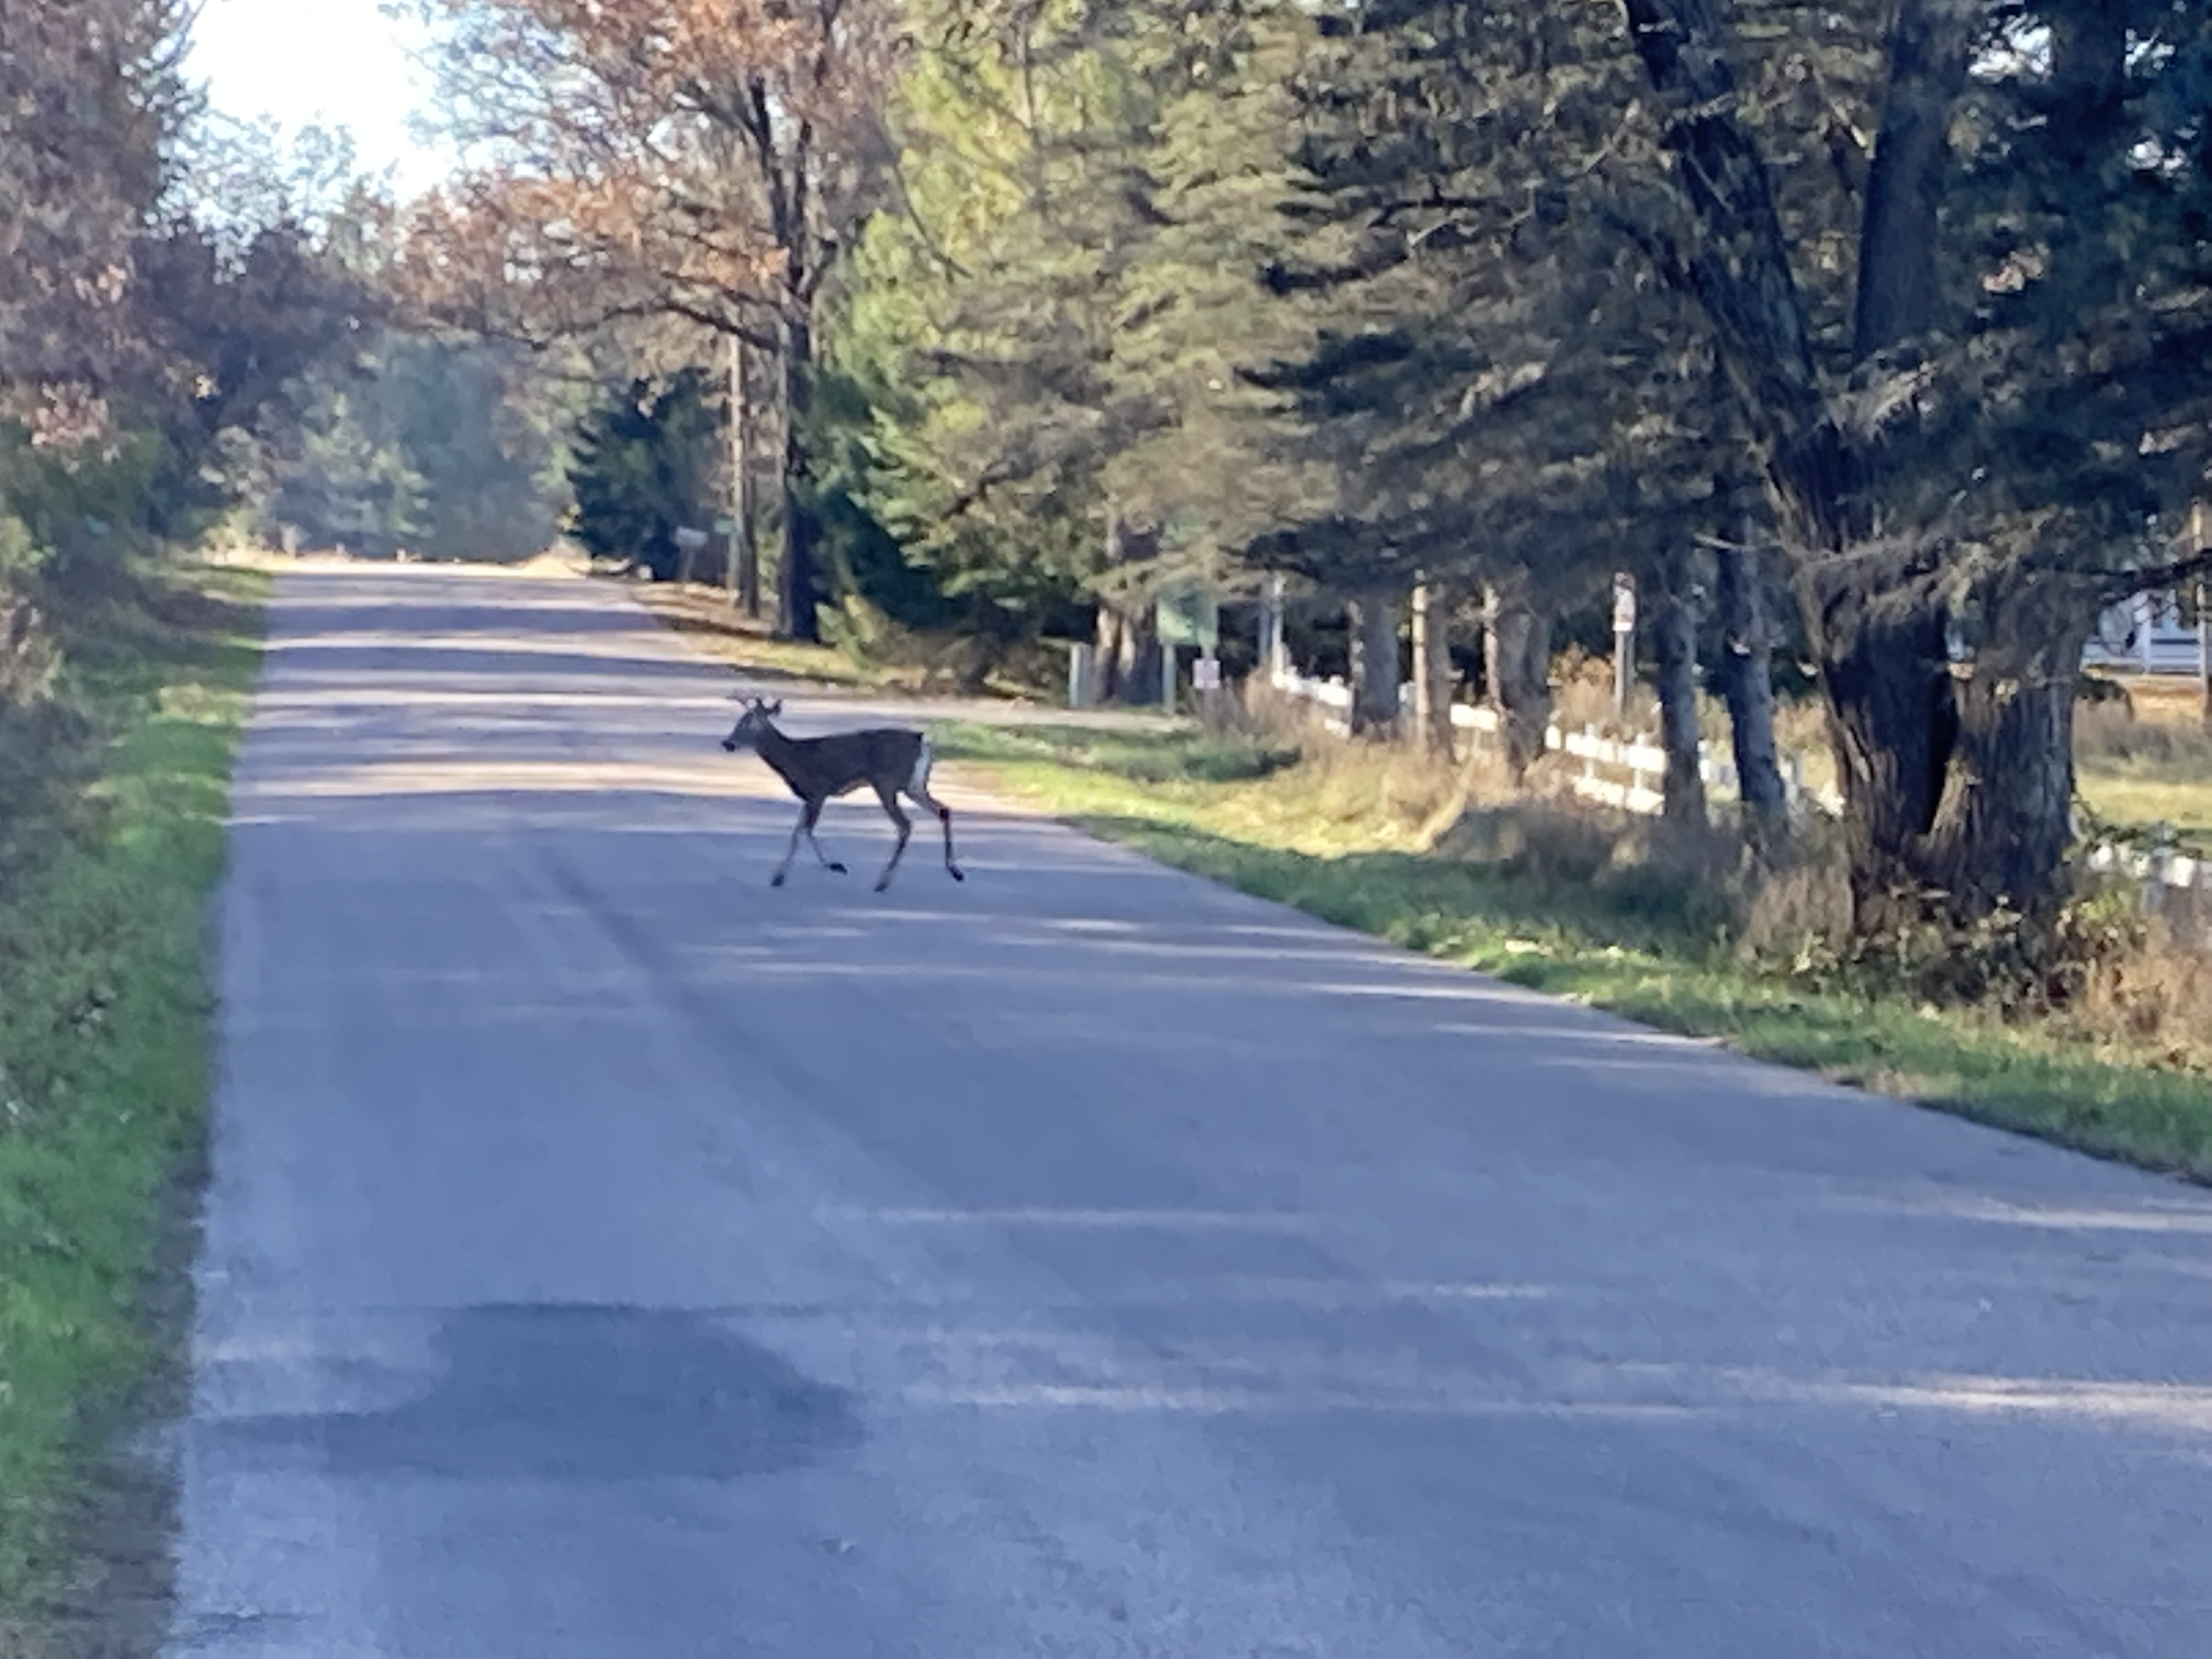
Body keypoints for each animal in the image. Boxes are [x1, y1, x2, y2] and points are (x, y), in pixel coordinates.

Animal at [725, 690, 969, 898]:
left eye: (750, 722)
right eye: (740, 720)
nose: (727, 743)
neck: (794, 759)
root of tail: (923, 742)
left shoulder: (819, 790)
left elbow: (807, 830)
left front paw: (836, 866)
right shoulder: (809, 797)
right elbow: (796, 832)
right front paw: (779, 877)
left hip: (887, 783)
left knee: (906, 825)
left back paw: (883, 882)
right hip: (914, 786)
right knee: (943, 810)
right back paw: (955, 871)